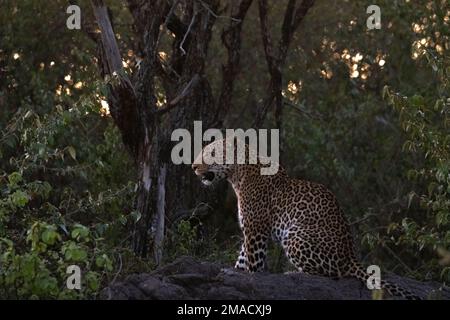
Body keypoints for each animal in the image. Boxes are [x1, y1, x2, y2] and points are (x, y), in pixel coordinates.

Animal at [192, 138, 422, 300]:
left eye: (210, 153)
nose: (193, 167)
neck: (237, 175)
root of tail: (351, 258)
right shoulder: (253, 229)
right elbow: (241, 258)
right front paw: (234, 271)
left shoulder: (255, 229)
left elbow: (253, 263)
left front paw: (249, 276)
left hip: (295, 235)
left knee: (330, 275)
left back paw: (292, 273)